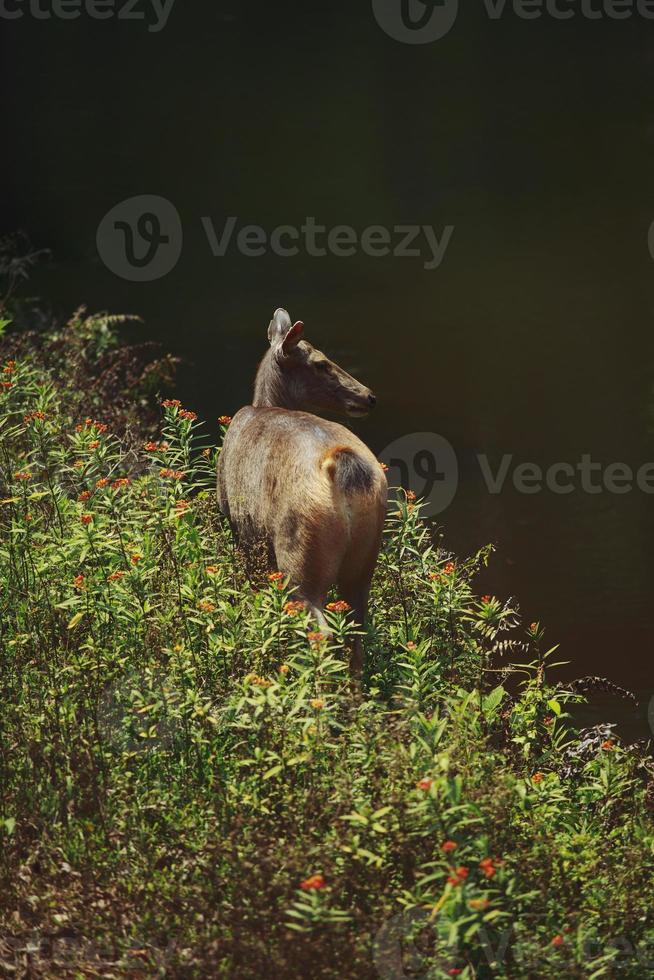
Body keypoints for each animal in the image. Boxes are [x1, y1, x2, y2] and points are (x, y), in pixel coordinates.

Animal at [218, 308, 386, 672]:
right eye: (321, 363)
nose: (369, 396)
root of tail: (343, 466)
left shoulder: (240, 528)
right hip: (364, 560)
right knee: (357, 632)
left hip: (299, 553)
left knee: (320, 631)